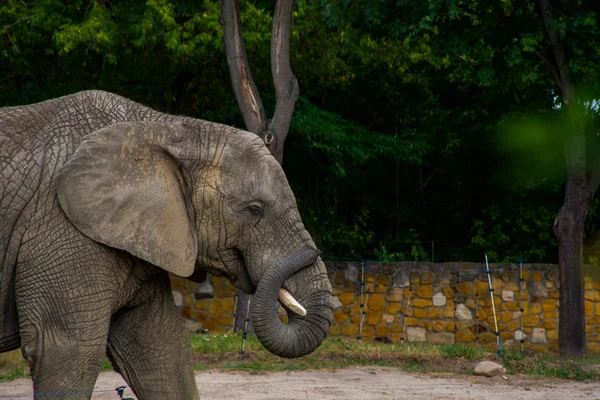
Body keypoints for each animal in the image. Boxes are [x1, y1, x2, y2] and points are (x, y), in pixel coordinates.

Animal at [0, 91, 332, 400]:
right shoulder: (61, 229)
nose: (312, 251)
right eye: (254, 209)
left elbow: (160, 350)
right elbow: (66, 350)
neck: (166, 129)